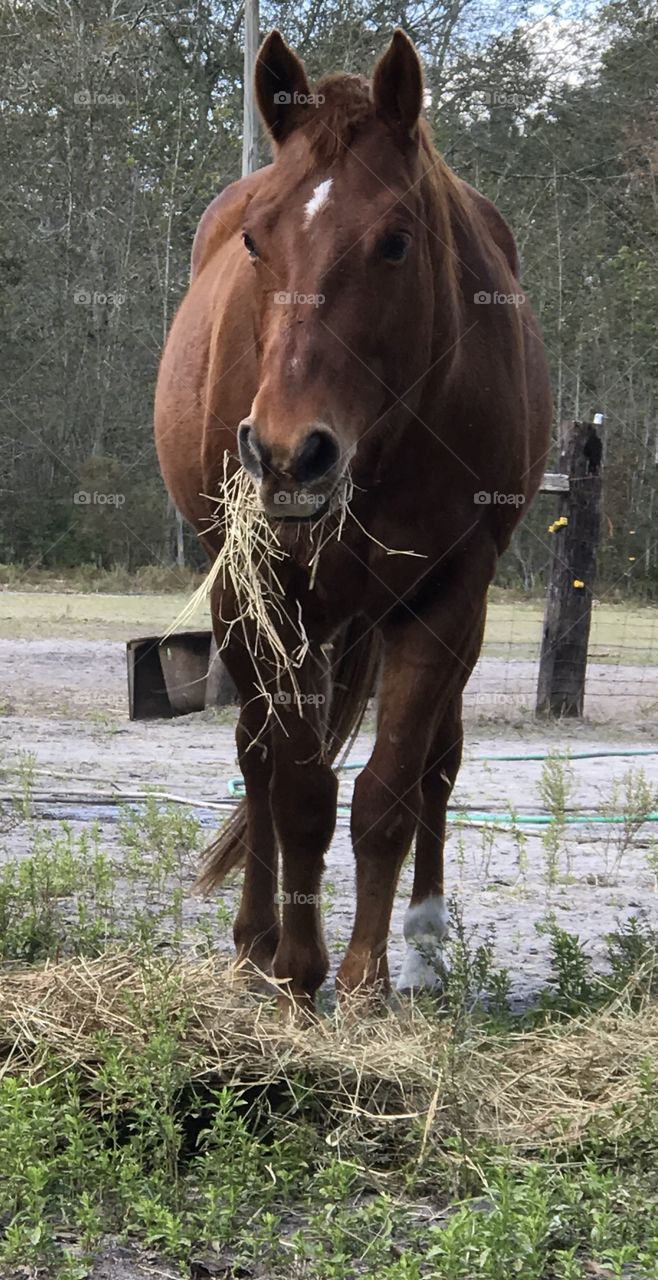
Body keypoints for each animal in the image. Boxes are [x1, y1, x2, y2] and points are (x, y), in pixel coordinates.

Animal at [154, 29, 552, 1011]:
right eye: (255, 239)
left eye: (396, 242)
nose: (290, 454)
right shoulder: (267, 591)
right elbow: (296, 788)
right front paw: (297, 967)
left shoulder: (449, 595)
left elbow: (389, 791)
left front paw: (367, 977)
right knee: (259, 759)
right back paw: (255, 943)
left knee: (438, 763)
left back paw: (423, 945)